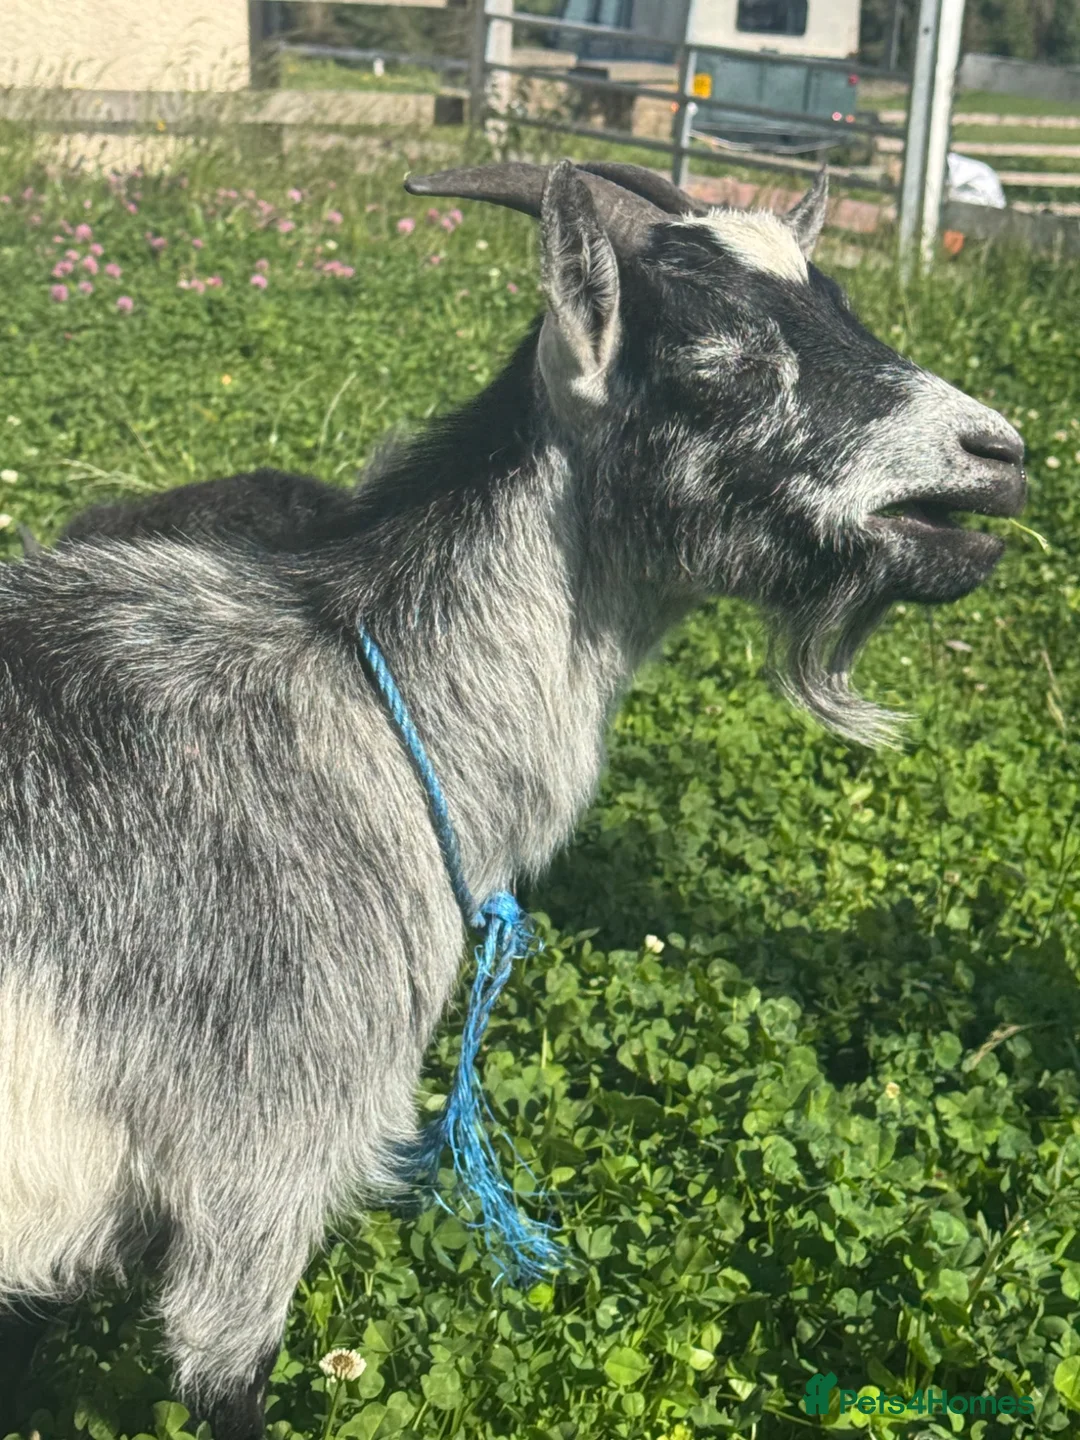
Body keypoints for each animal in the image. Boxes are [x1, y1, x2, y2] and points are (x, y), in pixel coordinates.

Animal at [0, 161, 1025, 1439]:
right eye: (716, 360)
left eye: (840, 304)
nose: (1000, 452)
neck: (361, 697)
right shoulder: (260, 1157)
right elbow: (228, 1378)